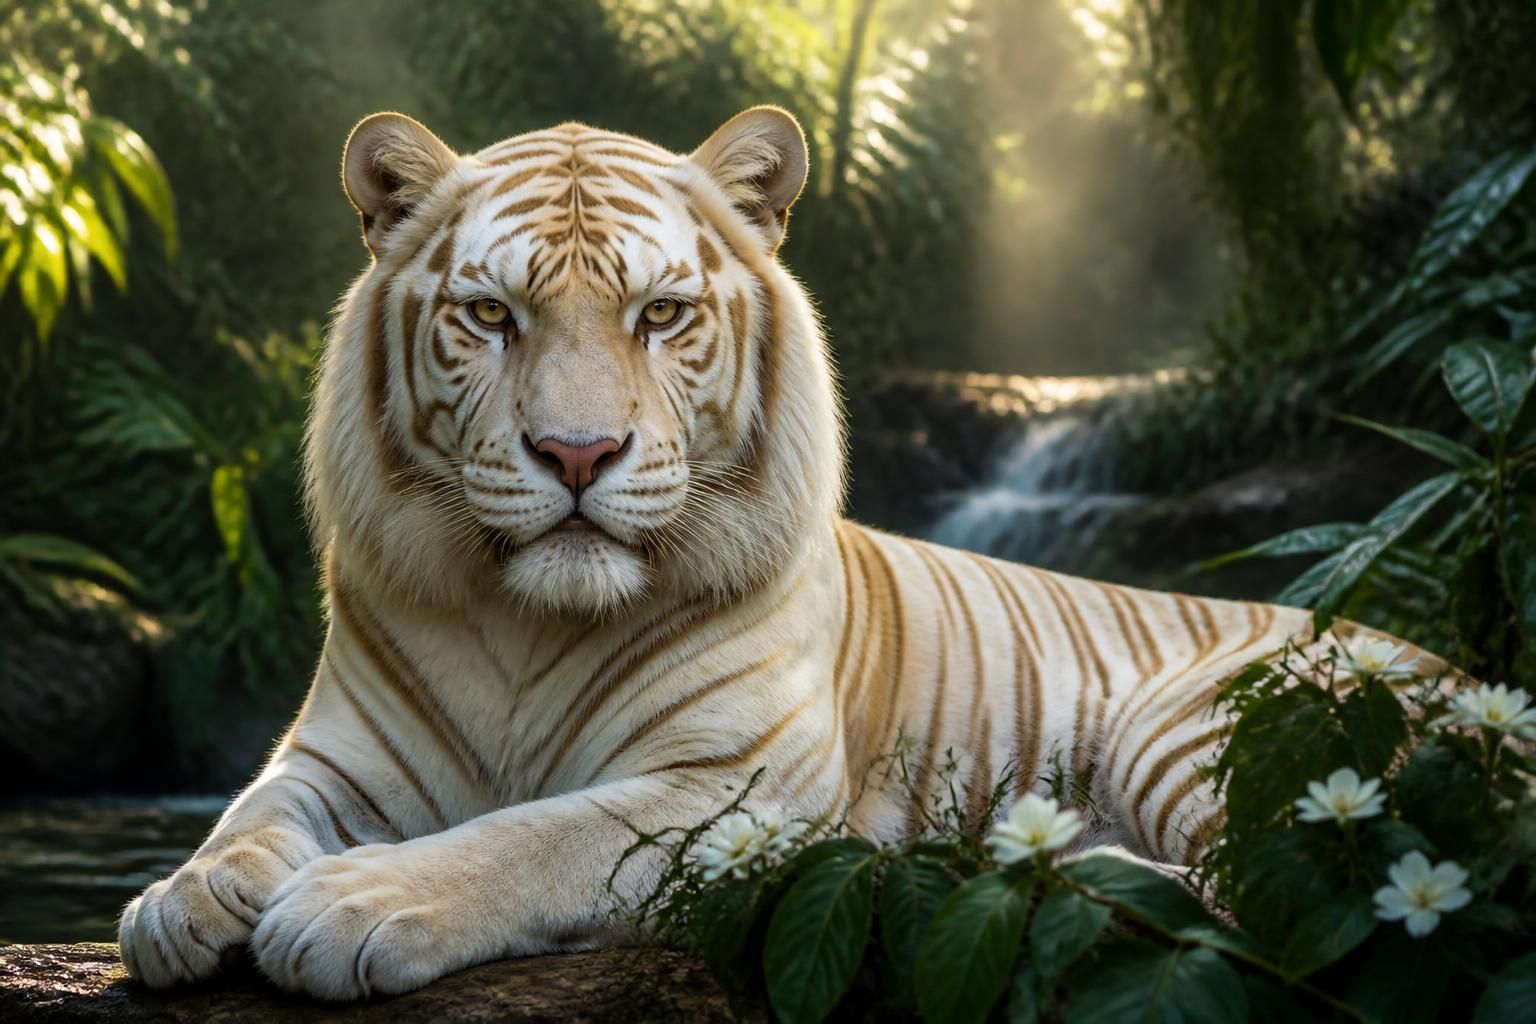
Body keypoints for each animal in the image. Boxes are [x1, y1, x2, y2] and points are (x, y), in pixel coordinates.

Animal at [117, 107, 1449, 1000]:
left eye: (660, 314)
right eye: (490, 315)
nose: (578, 453)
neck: (529, 621)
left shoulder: (736, 792)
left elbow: (529, 836)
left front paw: (352, 899)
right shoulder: (334, 754)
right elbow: (250, 811)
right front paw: (180, 900)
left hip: (1201, 731)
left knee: (1291, 895)